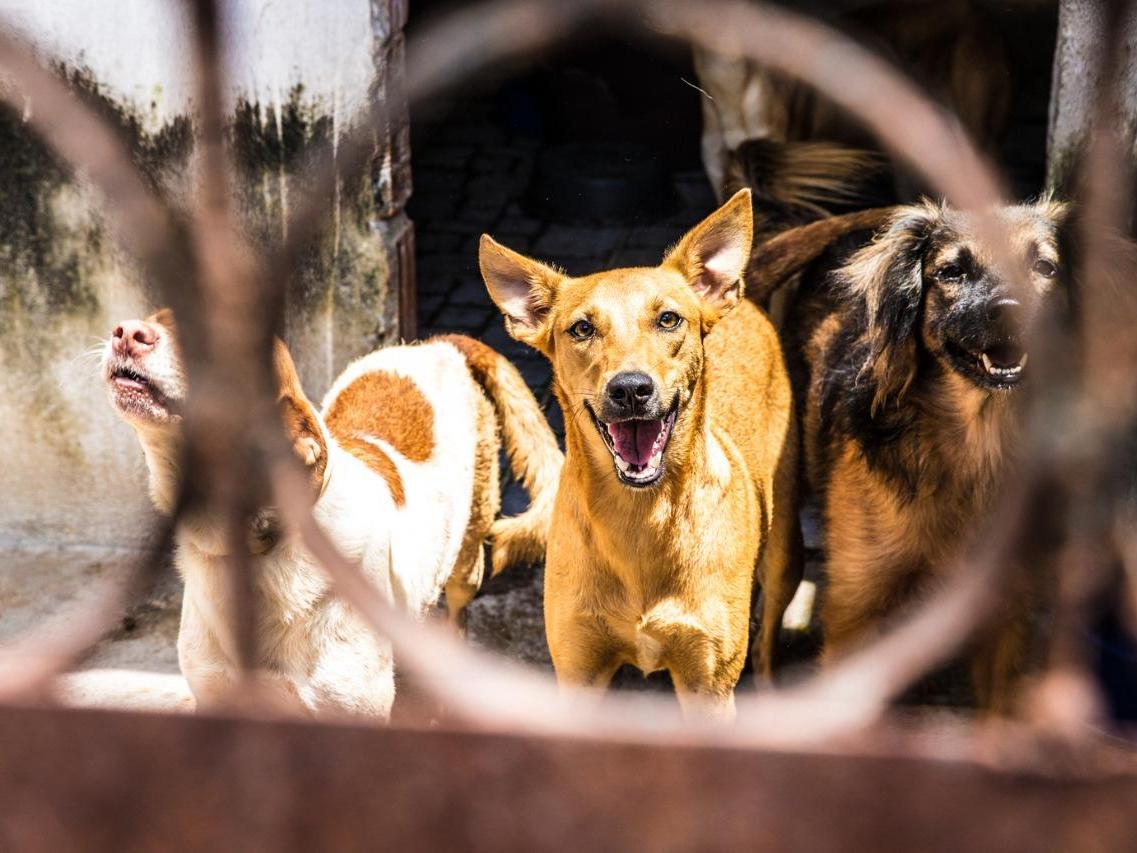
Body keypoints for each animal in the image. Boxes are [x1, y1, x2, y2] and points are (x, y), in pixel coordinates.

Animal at [477, 189, 800, 718]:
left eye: (668, 319)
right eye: (581, 328)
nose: (630, 389)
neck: (639, 521)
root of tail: (744, 298)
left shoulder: (708, 685)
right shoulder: (579, 670)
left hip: (784, 556)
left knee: (770, 647)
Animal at [786, 200, 1068, 714]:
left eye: (1045, 267)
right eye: (952, 271)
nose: (1010, 311)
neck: (978, 439)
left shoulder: (1009, 611)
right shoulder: (855, 605)